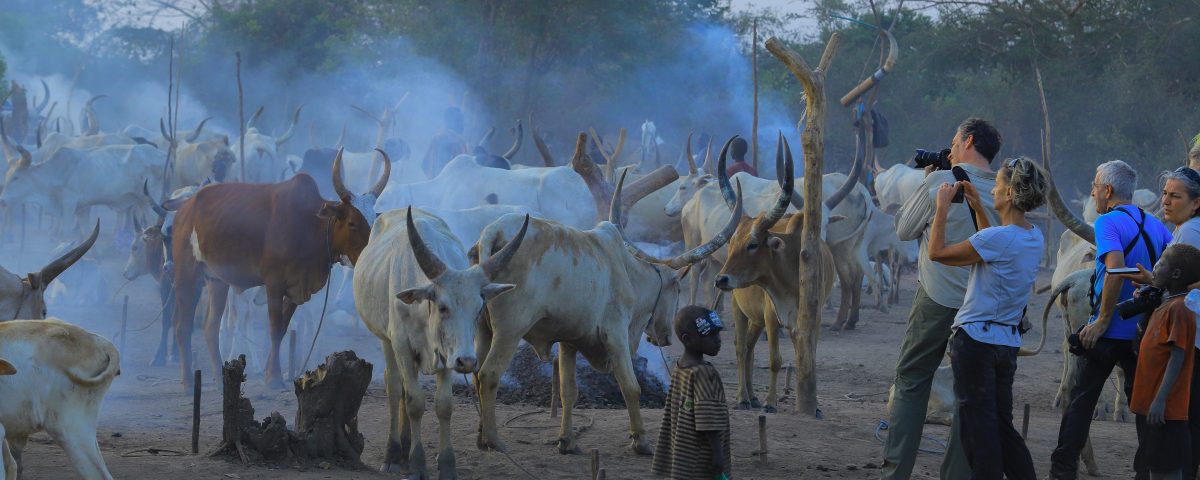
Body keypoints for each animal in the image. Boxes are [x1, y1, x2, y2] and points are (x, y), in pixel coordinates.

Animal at [169, 151, 374, 389]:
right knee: (183, 326)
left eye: (374, 218)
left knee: (211, 327)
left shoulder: (297, 288)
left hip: (216, 280)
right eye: (352, 222)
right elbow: (275, 328)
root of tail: (185, 207)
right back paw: (187, 382)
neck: (308, 223)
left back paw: (220, 380)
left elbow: (284, 328)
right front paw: (274, 378)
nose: (369, 253)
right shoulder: (274, 284)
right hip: (186, 275)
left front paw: (272, 372)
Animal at [354, 208, 528, 477]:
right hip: (386, 340)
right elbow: (415, 402)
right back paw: (394, 454)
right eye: (443, 307)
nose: (468, 362)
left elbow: (444, 405)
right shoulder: (402, 345)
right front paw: (417, 464)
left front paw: (446, 464)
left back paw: (404, 449)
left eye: (479, 308)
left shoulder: (447, 354)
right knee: (394, 386)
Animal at [471, 169, 743, 455]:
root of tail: (493, 231)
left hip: (483, 329)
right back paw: (494, 440)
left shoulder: (569, 341)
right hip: (510, 330)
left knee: (477, 375)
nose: (665, 337)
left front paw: (567, 441)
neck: (626, 270)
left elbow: (569, 391)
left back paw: (481, 437)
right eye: (677, 288)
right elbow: (631, 387)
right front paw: (640, 441)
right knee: (489, 375)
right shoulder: (616, 335)